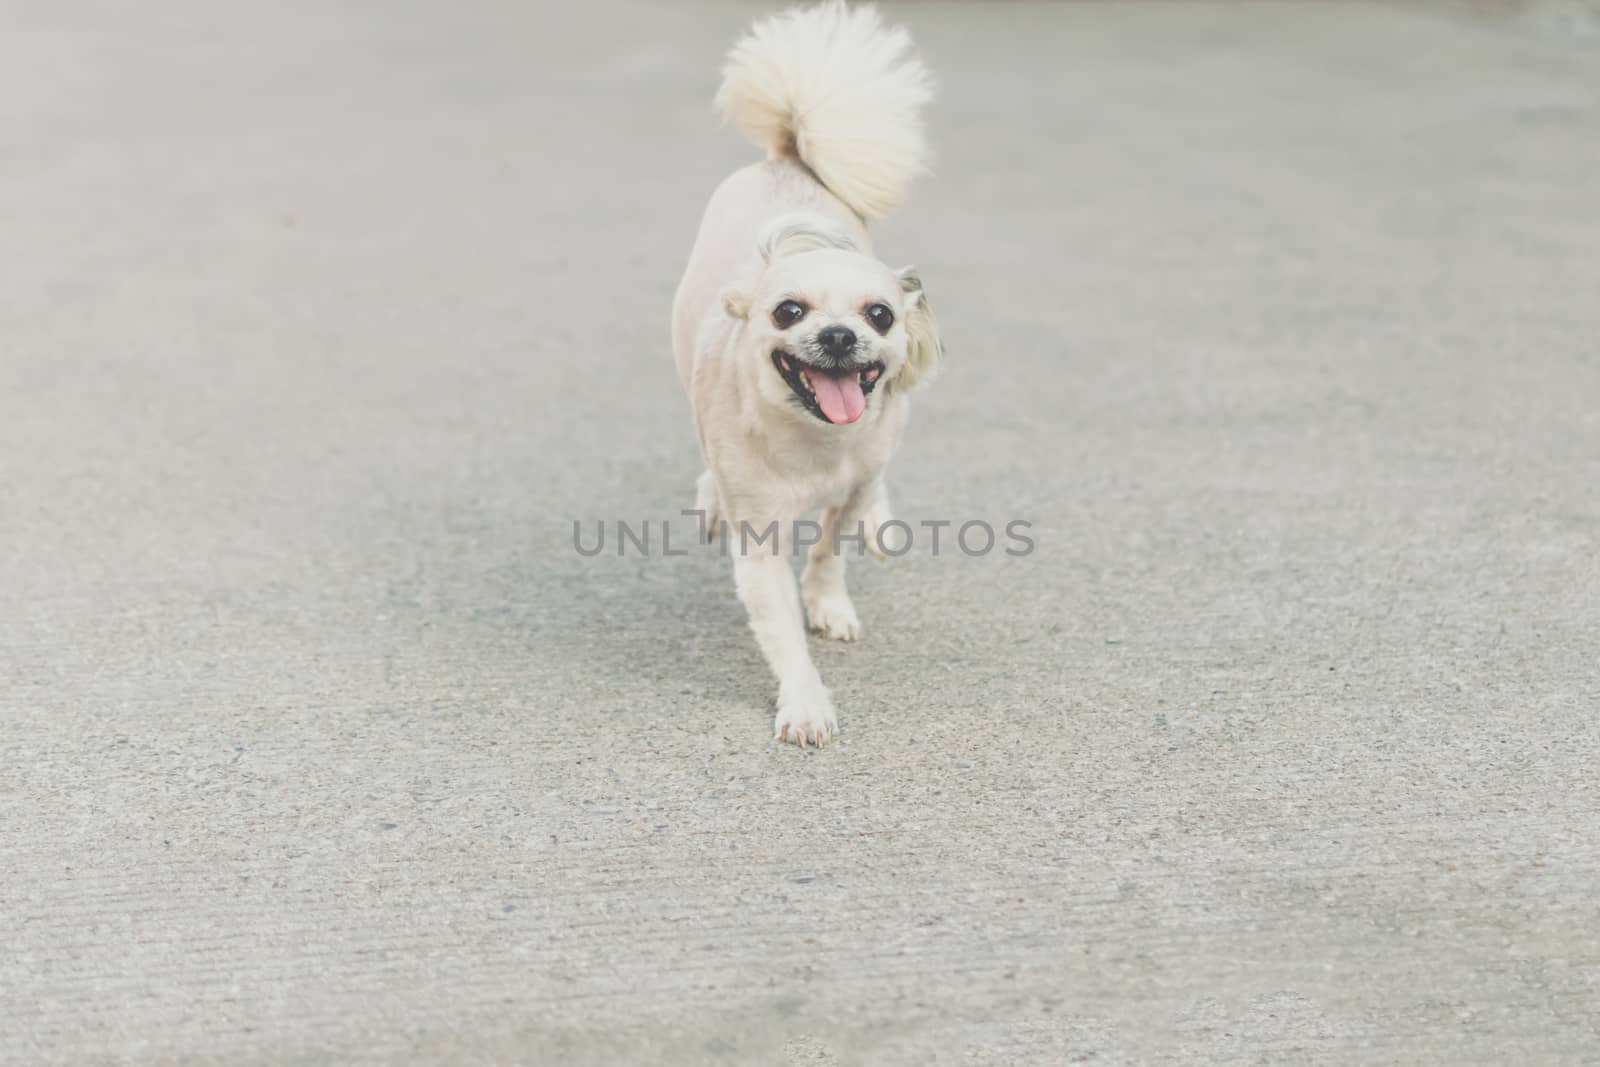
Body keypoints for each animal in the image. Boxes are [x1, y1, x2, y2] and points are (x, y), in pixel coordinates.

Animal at [672, 2, 940, 751]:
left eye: (880, 314)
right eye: (788, 310)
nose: (840, 335)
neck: (817, 442)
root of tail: (788, 156)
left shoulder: (850, 485)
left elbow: (830, 550)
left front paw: (829, 603)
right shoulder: (759, 543)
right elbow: (782, 631)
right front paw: (806, 703)